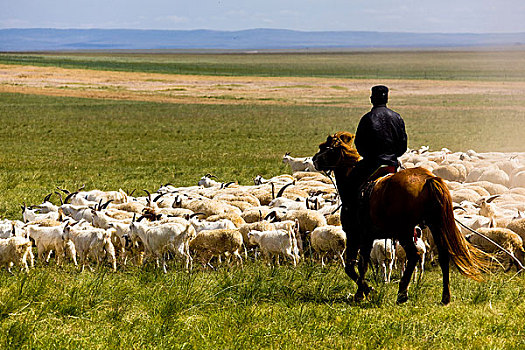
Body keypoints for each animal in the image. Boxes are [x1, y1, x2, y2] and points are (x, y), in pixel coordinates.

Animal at [312, 133, 488, 304]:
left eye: (324, 147)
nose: (314, 160)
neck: (354, 184)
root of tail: (428, 179)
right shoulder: (368, 236)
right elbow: (362, 265)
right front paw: (363, 292)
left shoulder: (355, 234)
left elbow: (352, 267)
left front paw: (364, 292)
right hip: (435, 224)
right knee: (443, 256)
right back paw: (445, 296)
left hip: (405, 230)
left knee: (414, 256)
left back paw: (402, 293)